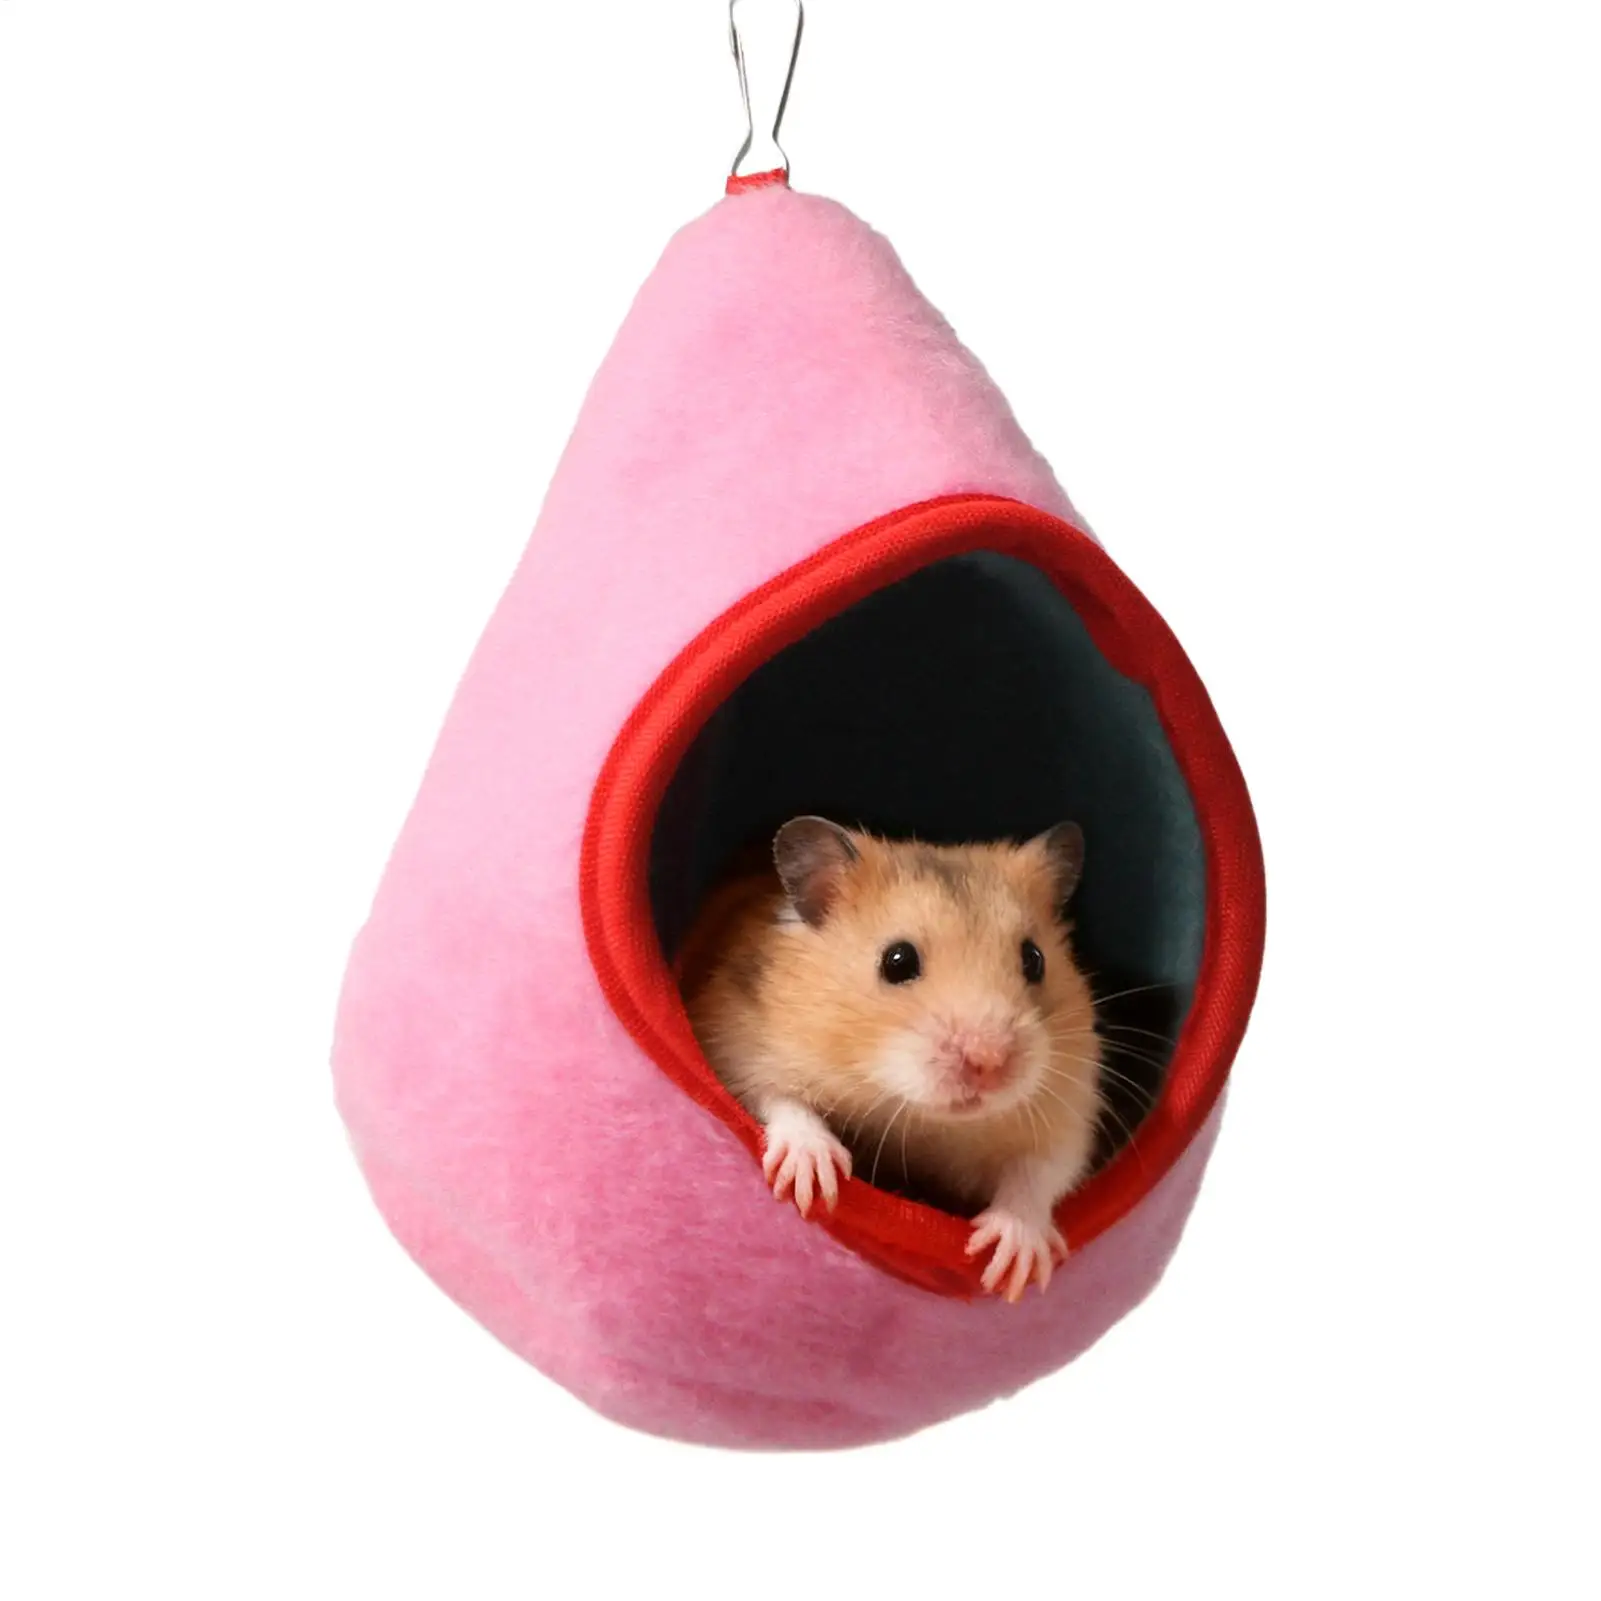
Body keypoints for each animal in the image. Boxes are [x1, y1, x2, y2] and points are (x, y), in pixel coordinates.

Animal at [681, 816, 1104, 1302]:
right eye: (897, 961)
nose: (989, 1063)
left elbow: (1039, 1172)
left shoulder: (1068, 1111)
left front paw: (1012, 1264)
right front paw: (815, 1180)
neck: (919, 1116)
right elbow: (777, 1097)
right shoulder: (733, 1038)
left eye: (1034, 959)